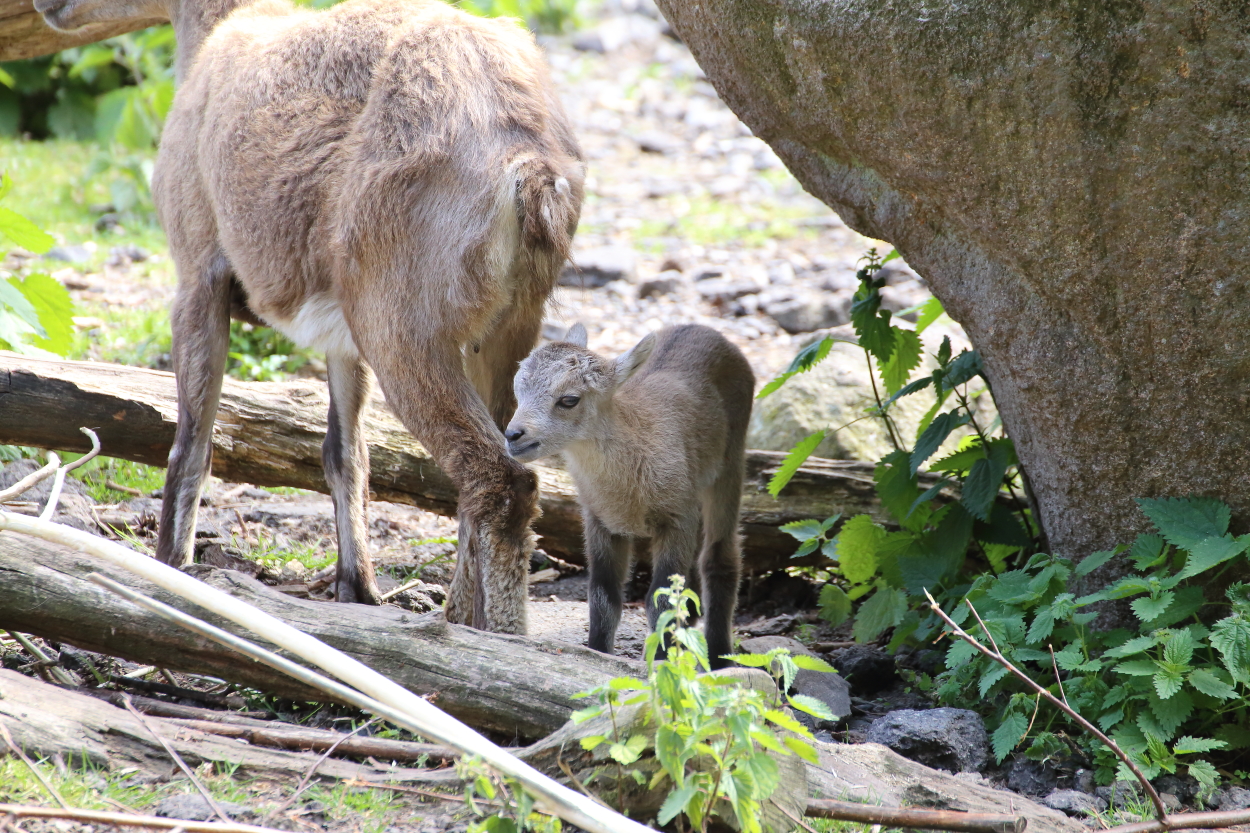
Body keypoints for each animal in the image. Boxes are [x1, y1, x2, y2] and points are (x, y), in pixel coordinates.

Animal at [505, 320, 750, 665]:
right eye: (518, 388)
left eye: (569, 399)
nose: (514, 435)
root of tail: (701, 328)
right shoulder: (600, 521)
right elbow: (603, 596)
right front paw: (598, 652)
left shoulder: (678, 518)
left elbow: (660, 600)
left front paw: (662, 665)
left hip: (730, 463)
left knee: (719, 556)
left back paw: (720, 658)